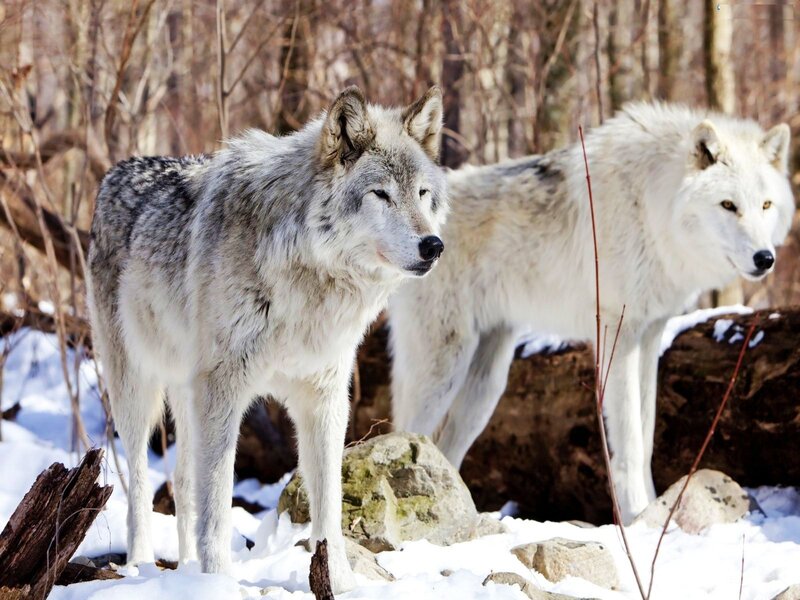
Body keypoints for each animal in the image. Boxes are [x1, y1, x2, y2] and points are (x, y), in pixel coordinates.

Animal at [87, 85, 446, 592]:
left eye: (422, 194)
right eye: (380, 194)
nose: (433, 245)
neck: (309, 278)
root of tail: (117, 171)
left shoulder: (324, 399)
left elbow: (328, 504)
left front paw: (338, 581)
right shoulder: (223, 391)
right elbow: (218, 506)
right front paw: (217, 583)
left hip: (187, 393)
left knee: (181, 482)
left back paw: (184, 570)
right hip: (137, 389)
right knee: (138, 481)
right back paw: (141, 566)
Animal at [390, 102, 794, 523]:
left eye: (766, 205)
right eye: (728, 205)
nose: (764, 259)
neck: (651, 205)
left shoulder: (650, 334)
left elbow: (645, 438)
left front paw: (652, 509)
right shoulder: (619, 333)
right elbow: (629, 443)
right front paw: (636, 517)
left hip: (486, 385)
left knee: (448, 448)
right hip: (443, 369)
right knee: (404, 432)